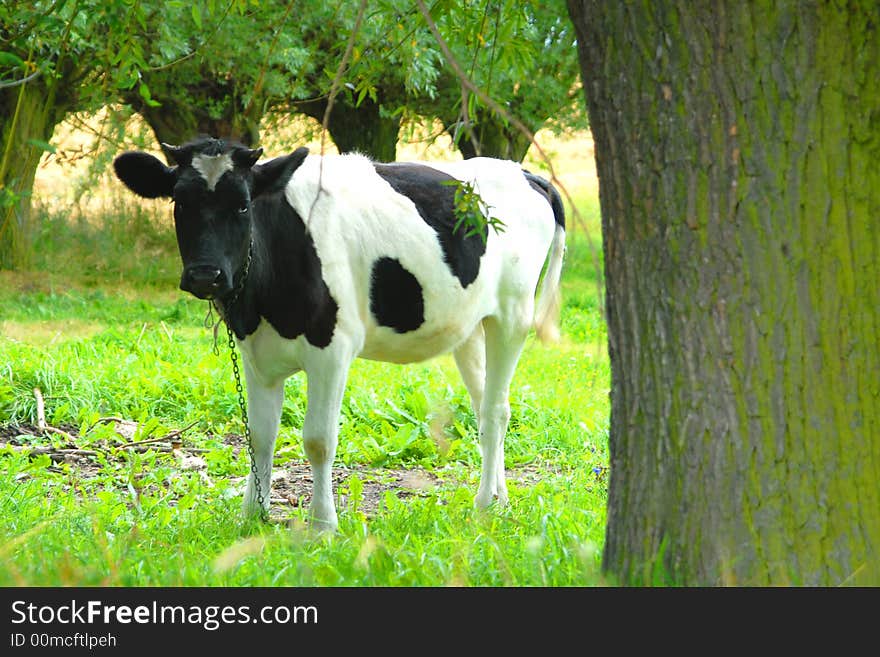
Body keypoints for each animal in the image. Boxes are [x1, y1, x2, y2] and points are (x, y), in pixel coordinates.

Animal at [113, 136, 564, 532]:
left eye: (242, 205)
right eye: (180, 202)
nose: (205, 275)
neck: (260, 305)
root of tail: (522, 172)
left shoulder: (331, 349)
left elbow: (318, 440)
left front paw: (322, 524)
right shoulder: (255, 355)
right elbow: (260, 436)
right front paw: (253, 515)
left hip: (512, 314)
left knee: (496, 410)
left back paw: (485, 504)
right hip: (468, 326)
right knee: (484, 405)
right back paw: (500, 497)